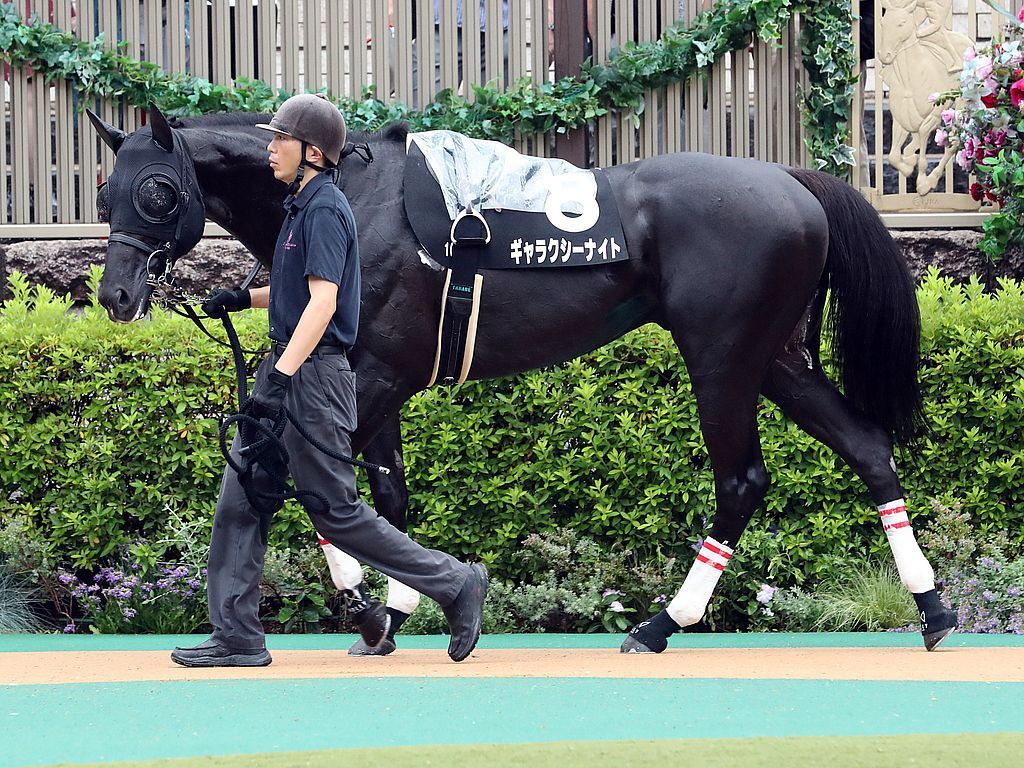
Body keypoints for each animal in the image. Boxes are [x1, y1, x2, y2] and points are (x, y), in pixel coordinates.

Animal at [87, 104, 958, 654]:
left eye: (157, 190)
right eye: (104, 192)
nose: (117, 296)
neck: (353, 197)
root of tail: (794, 180)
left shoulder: (378, 375)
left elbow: (309, 484)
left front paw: (371, 610)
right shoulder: (374, 378)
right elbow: (383, 495)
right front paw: (398, 612)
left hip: (723, 359)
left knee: (742, 480)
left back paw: (660, 625)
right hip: (775, 358)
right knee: (867, 447)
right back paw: (933, 607)